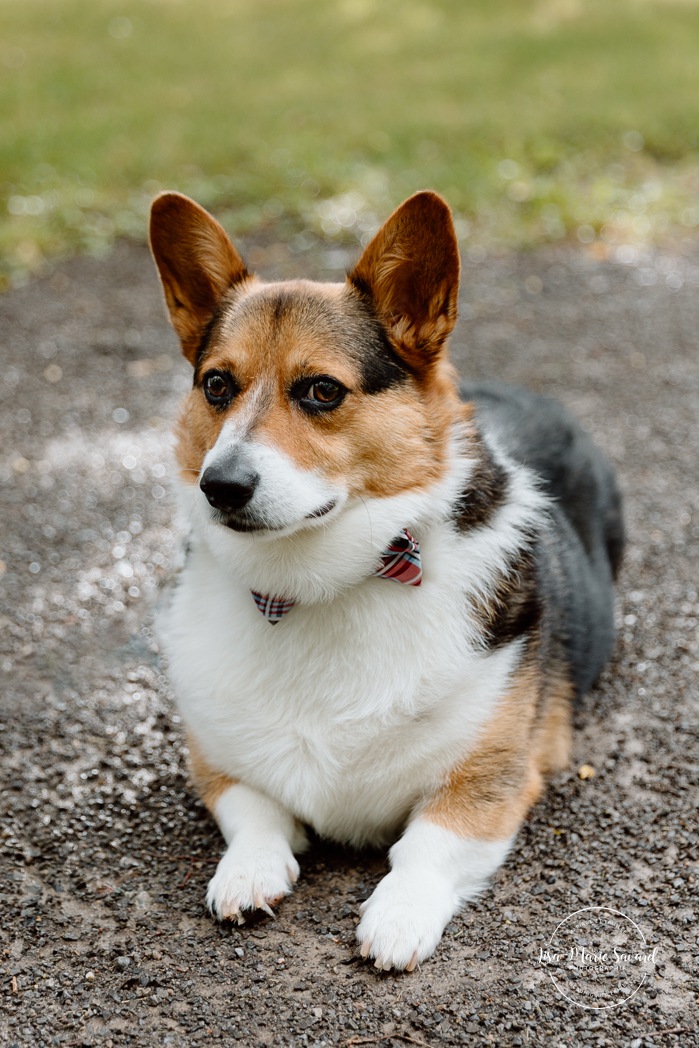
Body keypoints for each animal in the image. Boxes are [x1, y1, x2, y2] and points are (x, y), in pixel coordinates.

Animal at [147, 190, 624, 972]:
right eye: (217, 384)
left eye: (321, 390)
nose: (221, 486)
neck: (317, 588)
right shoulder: (215, 760)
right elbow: (254, 810)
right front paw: (246, 873)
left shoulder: (493, 777)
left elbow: (428, 844)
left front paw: (398, 917)